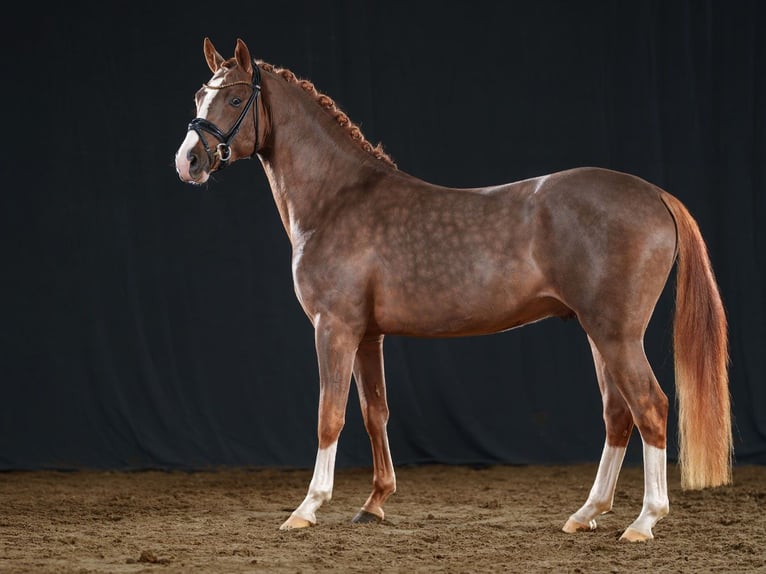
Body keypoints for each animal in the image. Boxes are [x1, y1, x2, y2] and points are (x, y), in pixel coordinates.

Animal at [172, 38, 732, 544]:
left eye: (235, 99)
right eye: (200, 94)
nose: (189, 161)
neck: (340, 199)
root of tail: (655, 194)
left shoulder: (334, 328)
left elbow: (329, 416)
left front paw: (307, 508)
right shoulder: (368, 335)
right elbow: (375, 413)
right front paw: (374, 504)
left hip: (617, 335)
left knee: (651, 407)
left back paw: (644, 521)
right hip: (598, 335)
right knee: (618, 415)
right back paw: (586, 513)